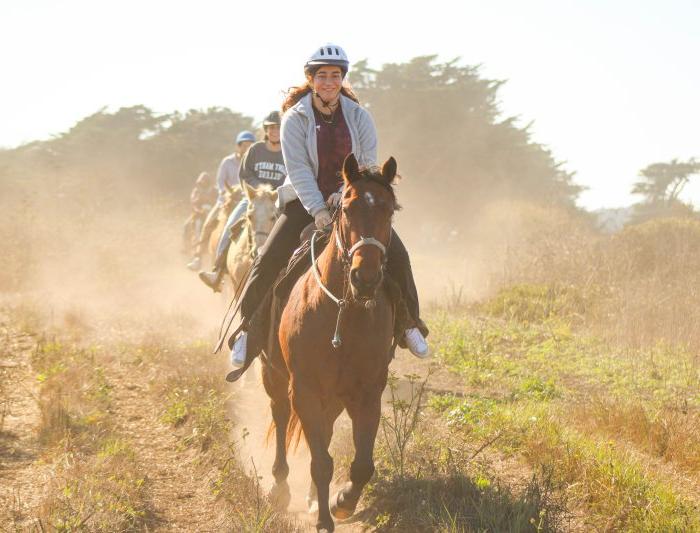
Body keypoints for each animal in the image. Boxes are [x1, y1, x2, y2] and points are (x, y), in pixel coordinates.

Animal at [262, 153, 400, 528]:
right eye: (348, 209)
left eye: (390, 210)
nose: (365, 278)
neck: (344, 311)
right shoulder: (304, 389)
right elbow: (321, 462)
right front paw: (324, 520)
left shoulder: (367, 392)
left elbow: (362, 464)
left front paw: (342, 503)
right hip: (274, 375)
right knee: (280, 415)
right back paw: (280, 487)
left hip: (334, 397)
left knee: (322, 431)